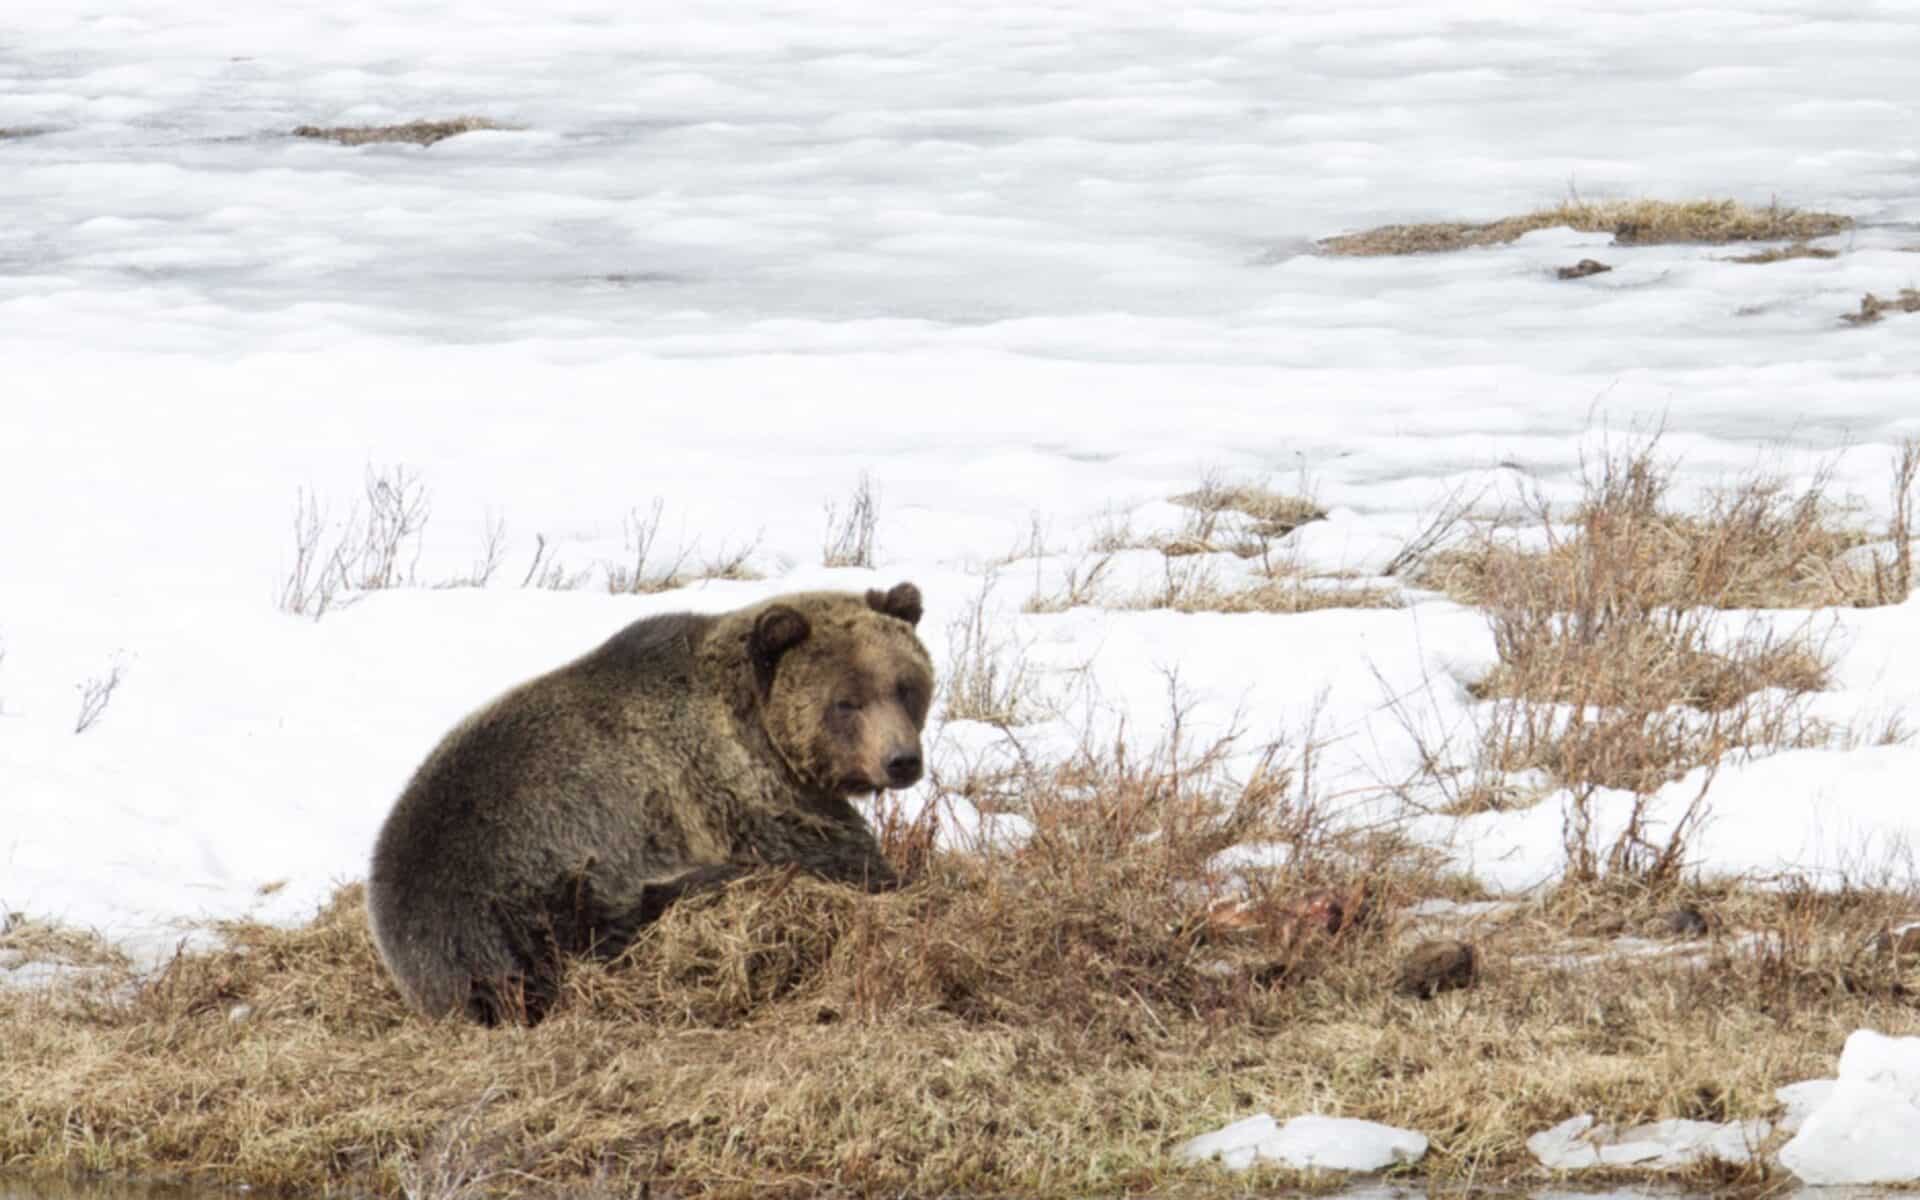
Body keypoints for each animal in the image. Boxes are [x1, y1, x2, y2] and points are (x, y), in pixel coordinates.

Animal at [366, 581, 933, 1024]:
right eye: (846, 702)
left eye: (905, 686)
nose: (902, 760)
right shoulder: (732, 792)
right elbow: (830, 852)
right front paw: (892, 876)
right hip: (531, 888)